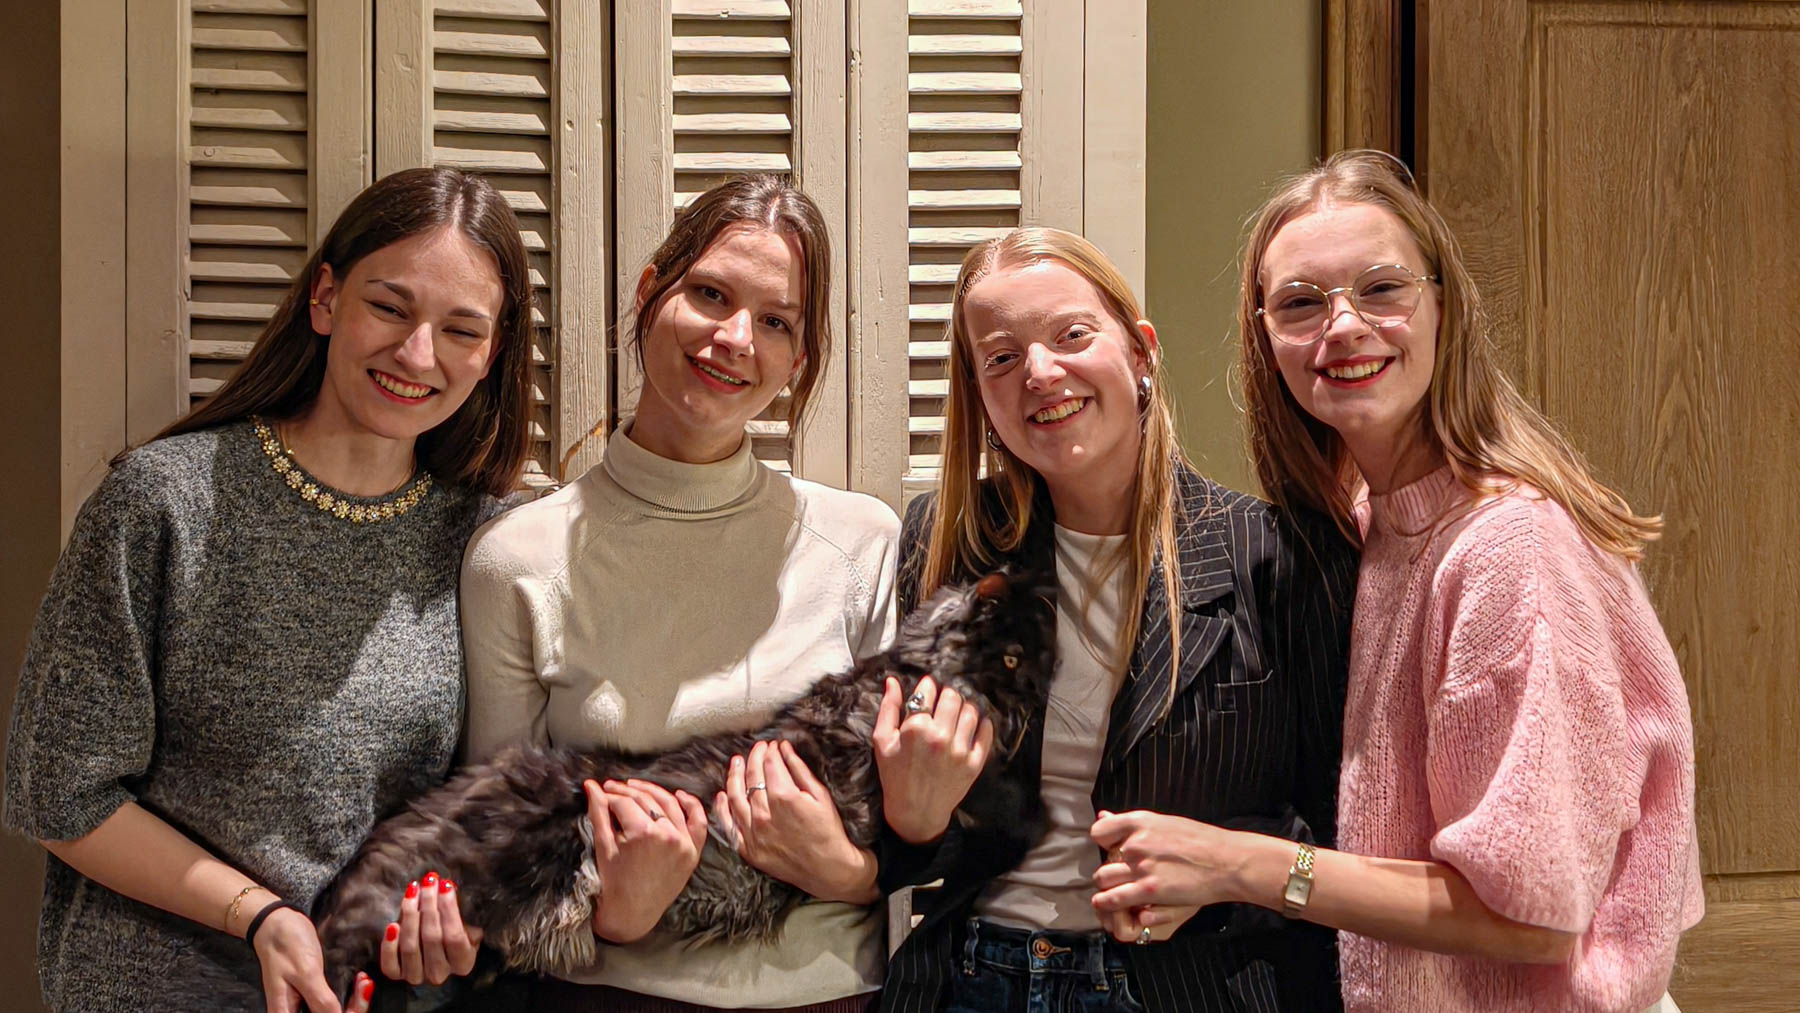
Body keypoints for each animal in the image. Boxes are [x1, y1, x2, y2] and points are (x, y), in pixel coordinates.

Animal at [312, 567, 1057, 996]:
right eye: (1015, 656)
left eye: (1044, 661)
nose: (1037, 690)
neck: (920, 666)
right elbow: (1008, 808)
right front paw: (1043, 819)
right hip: (438, 889)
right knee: (328, 949)